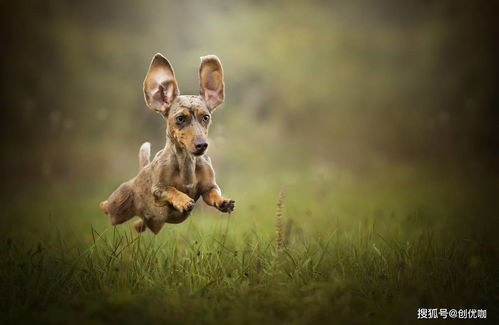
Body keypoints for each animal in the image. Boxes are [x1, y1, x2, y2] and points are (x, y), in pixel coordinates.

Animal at [100, 54, 237, 234]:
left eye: (206, 117)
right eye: (180, 118)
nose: (202, 144)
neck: (186, 163)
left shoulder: (208, 188)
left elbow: (213, 193)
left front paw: (223, 201)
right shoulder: (158, 189)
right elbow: (170, 189)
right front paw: (183, 200)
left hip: (143, 221)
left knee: (138, 224)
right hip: (117, 208)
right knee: (106, 208)